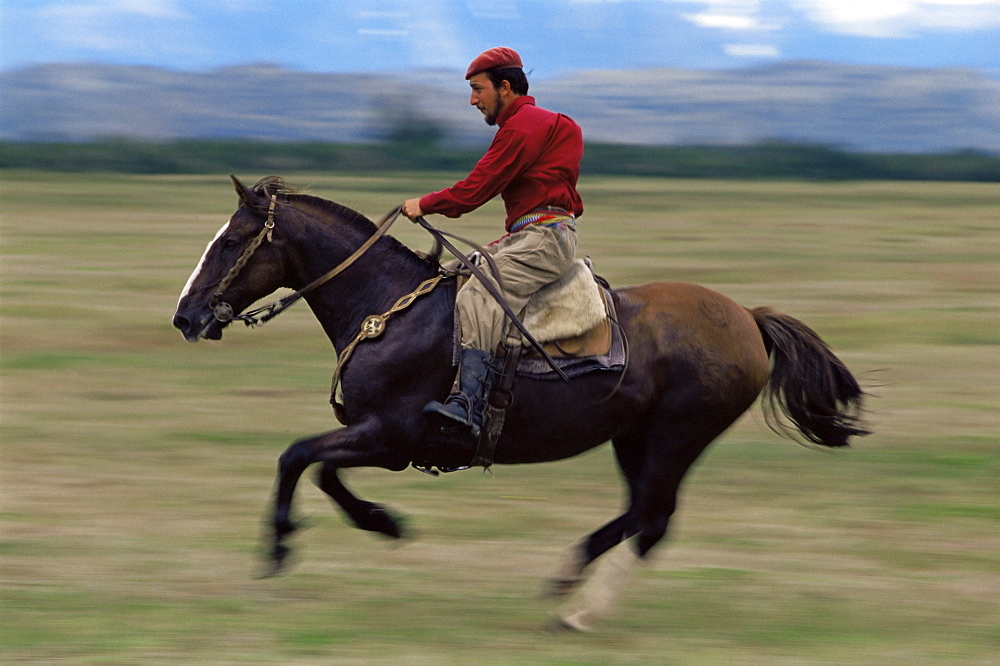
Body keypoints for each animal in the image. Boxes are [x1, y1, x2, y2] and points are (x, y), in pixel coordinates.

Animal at [172, 178, 868, 628]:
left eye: (232, 241)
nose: (185, 315)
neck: (388, 304)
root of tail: (748, 318)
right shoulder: (381, 440)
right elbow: (318, 468)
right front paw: (379, 521)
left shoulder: (389, 435)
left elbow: (299, 458)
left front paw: (291, 544)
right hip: (633, 437)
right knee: (640, 514)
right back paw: (565, 578)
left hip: (677, 435)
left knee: (653, 520)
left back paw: (581, 612)